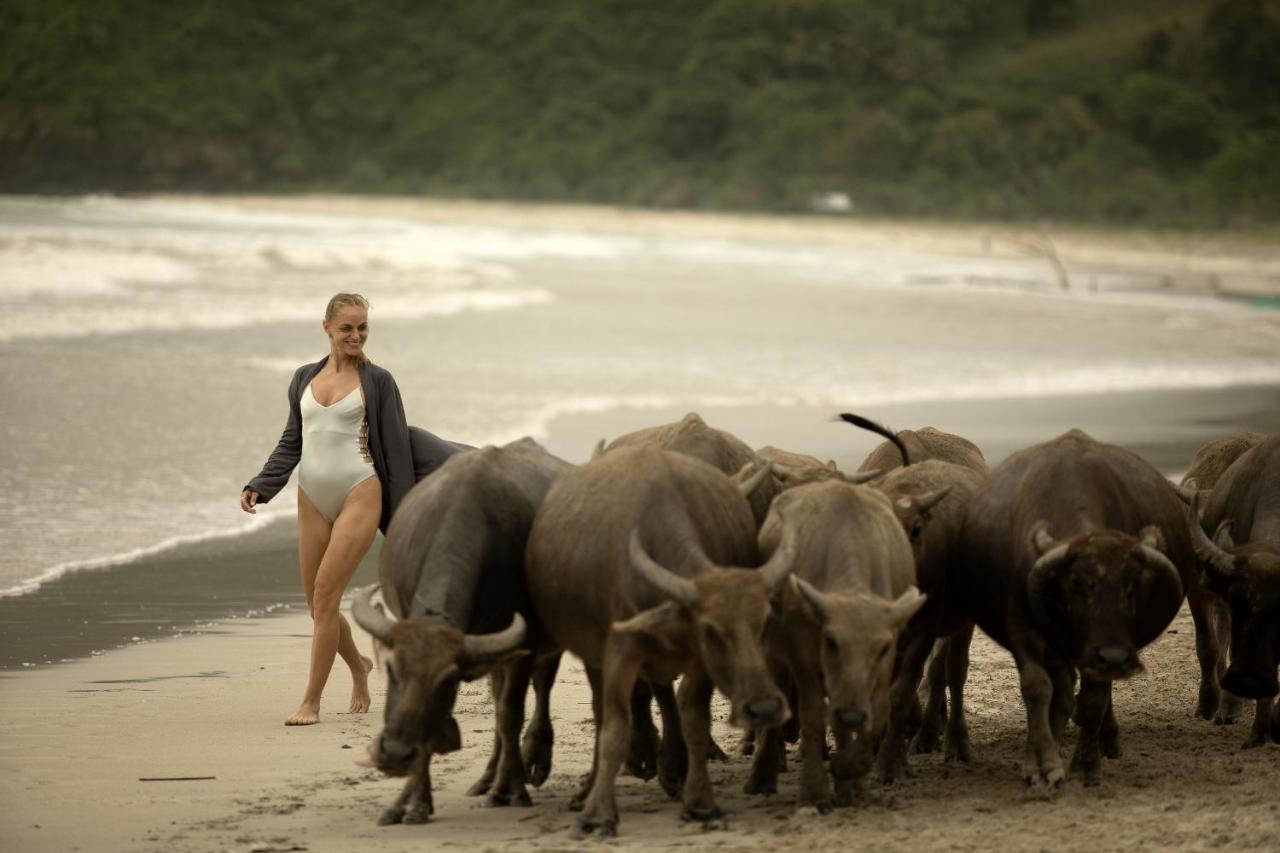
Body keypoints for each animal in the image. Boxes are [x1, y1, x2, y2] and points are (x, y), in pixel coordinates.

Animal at [350, 435, 570, 819]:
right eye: (391, 670)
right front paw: (411, 802)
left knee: (536, 692)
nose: (395, 754)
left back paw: (526, 767)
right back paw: (486, 779)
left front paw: (513, 789)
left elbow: (511, 714)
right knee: (497, 701)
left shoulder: (524, 647)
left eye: (447, 680)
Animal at [524, 445, 793, 835]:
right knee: (601, 714)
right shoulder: (619, 652)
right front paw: (598, 813)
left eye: (764, 624)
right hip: (593, 656)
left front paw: (700, 803)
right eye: (711, 630)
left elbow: (694, 720)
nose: (765, 708)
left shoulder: (699, 664)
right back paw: (588, 792)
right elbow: (615, 729)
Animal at [747, 479, 926, 809]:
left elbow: (879, 711)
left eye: (882, 648)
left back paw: (850, 786)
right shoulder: (803, 657)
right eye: (830, 641)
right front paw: (814, 790)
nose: (852, 715)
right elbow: (813, 717)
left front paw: (848, 769)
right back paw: (762, 775)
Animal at [957, 427, 1192, 788]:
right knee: (1063, 692)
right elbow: (1037, 687)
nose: (1114, 657)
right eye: (1077, 583)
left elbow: (1093, 701)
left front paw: (1085, 765)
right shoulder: (1023, 628)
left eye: (1133, 584)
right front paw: (1041, 764)